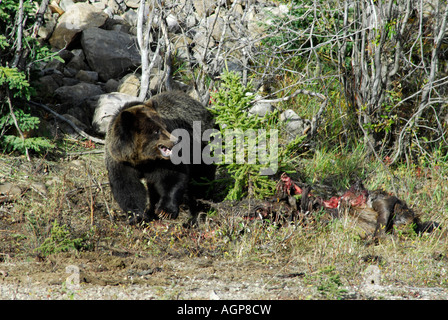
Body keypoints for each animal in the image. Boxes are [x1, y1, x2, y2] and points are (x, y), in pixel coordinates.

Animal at [106, 90, 216, 225]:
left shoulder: (162, 162)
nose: (176, 140)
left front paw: (165, 211)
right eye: (156, 131)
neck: (142, 159)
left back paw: (201, 203)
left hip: (202, 146)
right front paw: (138, 216)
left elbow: (172, 177)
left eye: (164, 125)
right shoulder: (121, 162)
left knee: (202, 176)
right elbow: (127, 187)